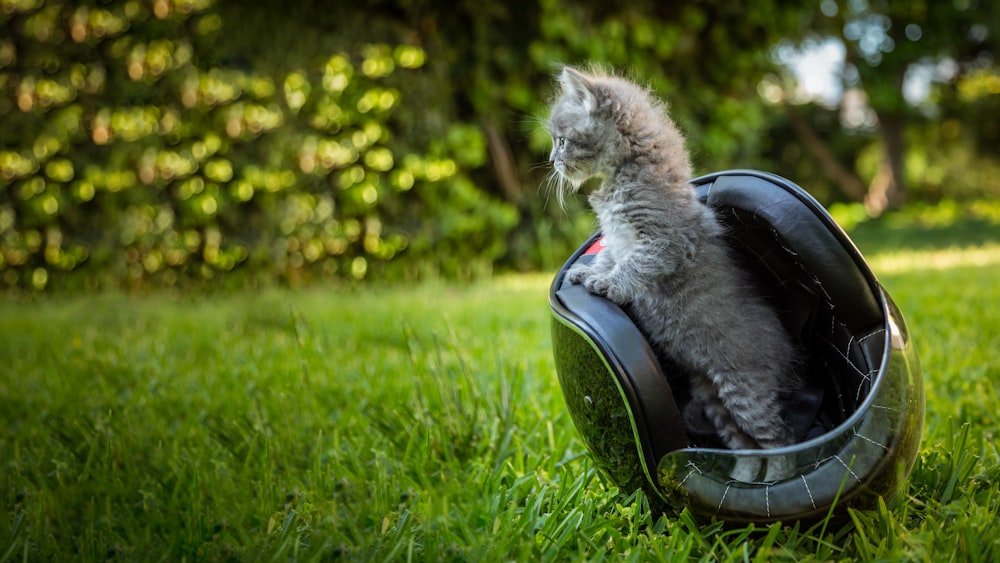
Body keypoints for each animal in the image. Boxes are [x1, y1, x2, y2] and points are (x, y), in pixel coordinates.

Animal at [548, 65, 796, 480]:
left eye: (562, 141)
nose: (552, 160)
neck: (626, 176)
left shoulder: (665, 242)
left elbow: (634, 266)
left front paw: (607, 284)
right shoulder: (618, 238)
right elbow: (611, 254)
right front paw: (589, 272)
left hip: (745, 390)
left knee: (780, 442)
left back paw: (775, 479)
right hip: (713, 398)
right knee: (744, 445)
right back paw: (740, 477)